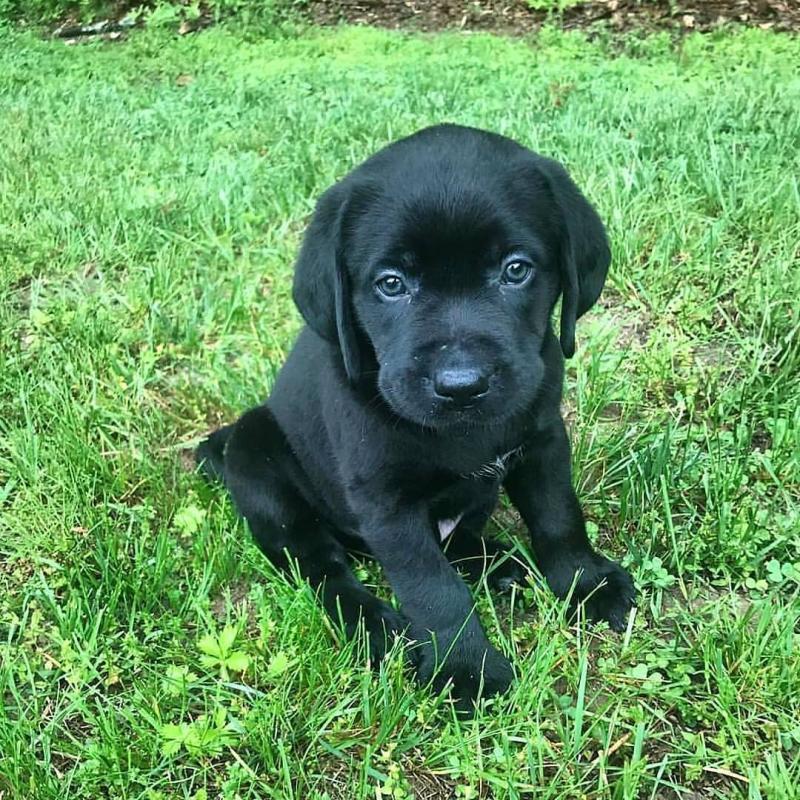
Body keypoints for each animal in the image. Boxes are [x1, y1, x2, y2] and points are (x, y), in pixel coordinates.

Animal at [197, 122, 636, 704]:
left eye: (516, 270)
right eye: (390, 283)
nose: (461, 385)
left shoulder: (543, 440)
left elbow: (559, 517)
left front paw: (587, 586)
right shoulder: (387, 502)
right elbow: (434, 589)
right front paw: (469, 671)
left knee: (459, 543)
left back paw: (505, 567)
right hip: (256, 456)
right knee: (322, 570)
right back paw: (380, 628)